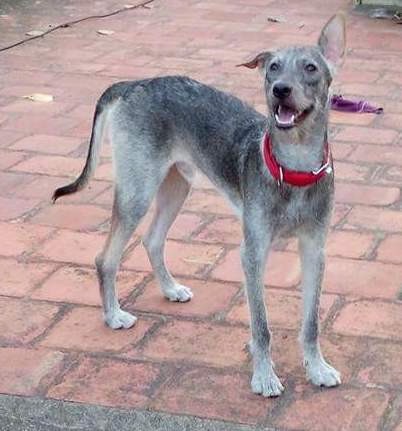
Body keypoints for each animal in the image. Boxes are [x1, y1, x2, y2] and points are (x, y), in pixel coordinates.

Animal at [54, 13, 346, 398]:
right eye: (273, 68)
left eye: (311, 68)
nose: (280, 89)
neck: (294, 169)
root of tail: (134, 84)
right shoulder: (253, 252)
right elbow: (262, 326)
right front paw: (264, 376)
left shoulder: (314, 249)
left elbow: (311, 323)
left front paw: (317, 368)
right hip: (137, 191)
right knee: (106, 258)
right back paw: (113, 315)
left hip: (177, 185)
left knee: (152, 240)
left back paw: (170, 289)